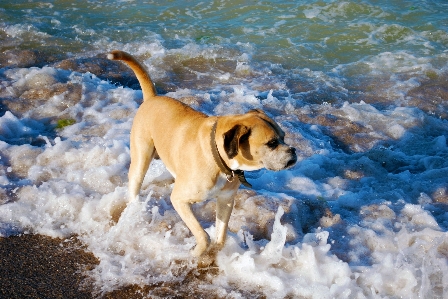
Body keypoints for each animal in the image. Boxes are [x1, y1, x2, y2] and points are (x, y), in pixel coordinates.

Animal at [107, 50, 298, 264]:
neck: (219, 158)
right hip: (141, 159)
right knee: (135, 184)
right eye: (272, 143)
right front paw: (195, 253)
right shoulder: (179, 200)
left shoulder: (226, 200)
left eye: (284, 137)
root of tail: (152, 98)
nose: (293, 151)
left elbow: (220, 237)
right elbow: (203, 235)